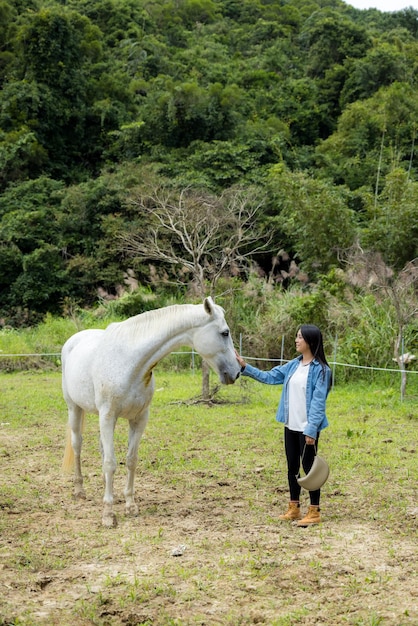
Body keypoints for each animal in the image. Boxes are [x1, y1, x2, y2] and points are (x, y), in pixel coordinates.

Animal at [60, 298, 240, 528]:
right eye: (225, 333)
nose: (237, 372)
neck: (130, 362)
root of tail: (73, 340)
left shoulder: (139, 418)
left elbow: (130, 460)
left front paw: (130, 505)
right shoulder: (107, 416)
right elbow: (110, 463)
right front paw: (108, 515)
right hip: (74, 409)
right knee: (77, 445)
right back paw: (79, 491)